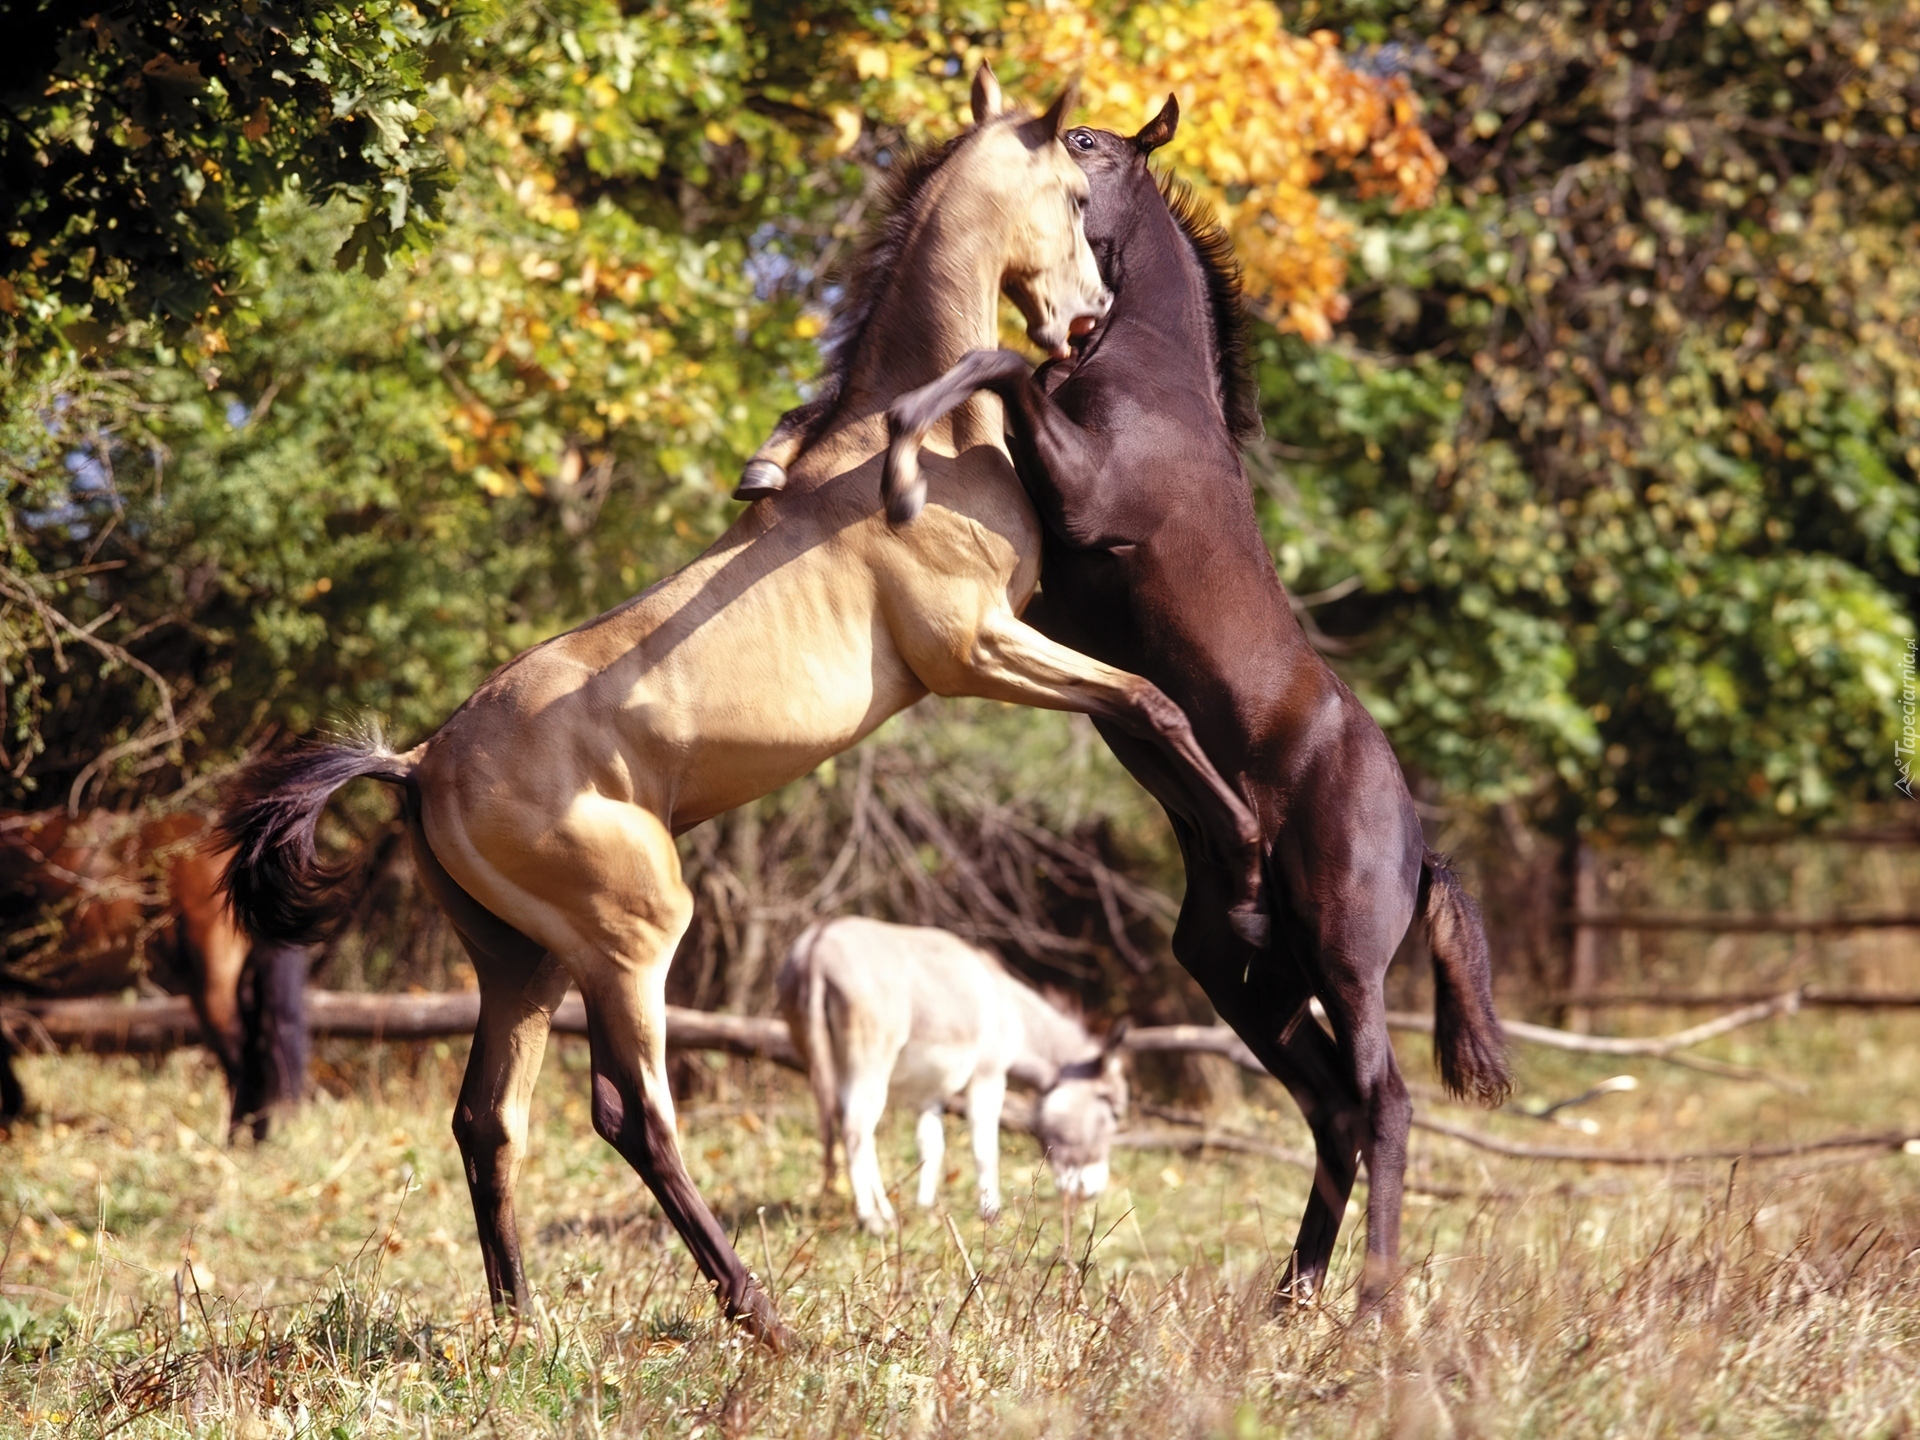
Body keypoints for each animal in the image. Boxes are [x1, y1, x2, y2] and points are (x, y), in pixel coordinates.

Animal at [775, 917, 1128, 1236]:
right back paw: (873, 1220)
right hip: (870, 1062)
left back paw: (886, 1214)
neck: (1009, 1006)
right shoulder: (989, 1075)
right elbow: (985, 1147)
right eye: (1114, 1111)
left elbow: (931, 1145)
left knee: (854, 1127)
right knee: (855, 1129)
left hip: (827, 1062)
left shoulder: (931, 1094)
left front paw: (926, 1209)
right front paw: (991, 1215)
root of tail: (819, 945)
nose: (1092, 1191)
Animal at [879, 107, 1520, 1313]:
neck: (1149, 385)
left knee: (1387, 1102)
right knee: (1333, 1108)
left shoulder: (1081, 496)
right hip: (1243, 975)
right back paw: (1291, 1296)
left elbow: (999, 364)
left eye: (1088, 143)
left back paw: (1370, 1307)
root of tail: (1421, 849)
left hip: (1343, 961)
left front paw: (897, 442)